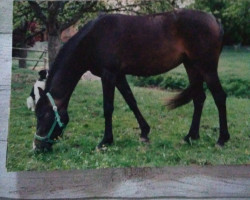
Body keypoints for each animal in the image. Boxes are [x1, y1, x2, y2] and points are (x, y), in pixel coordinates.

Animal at [33, 9, 230, 150]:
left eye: (44, 115)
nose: (38, 147)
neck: (94, 38)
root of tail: (215, 21)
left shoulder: (109, 75)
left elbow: (108, 107)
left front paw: (105, 141)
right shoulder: (119, 76)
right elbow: (131, 101)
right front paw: (144, 132)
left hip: (207, 68)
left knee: (220, 97)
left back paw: (222, 139)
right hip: (191, 66)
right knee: (199, 98)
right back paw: (191, 136)